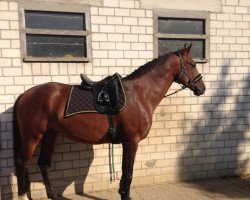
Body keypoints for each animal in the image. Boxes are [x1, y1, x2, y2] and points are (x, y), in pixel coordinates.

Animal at [13, 44, 205, 199]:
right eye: (193, 64)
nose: (202, 88)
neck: (139, 94)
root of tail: (24, 95)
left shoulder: (127, 142)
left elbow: (124, 171)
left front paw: (123, 193)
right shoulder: (132, 140)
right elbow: (128, 172)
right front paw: (126, 196)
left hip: (49, 135)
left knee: (43, 163)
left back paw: (52, 194)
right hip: (32, 137)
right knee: (22, 162)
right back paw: (23, 196)